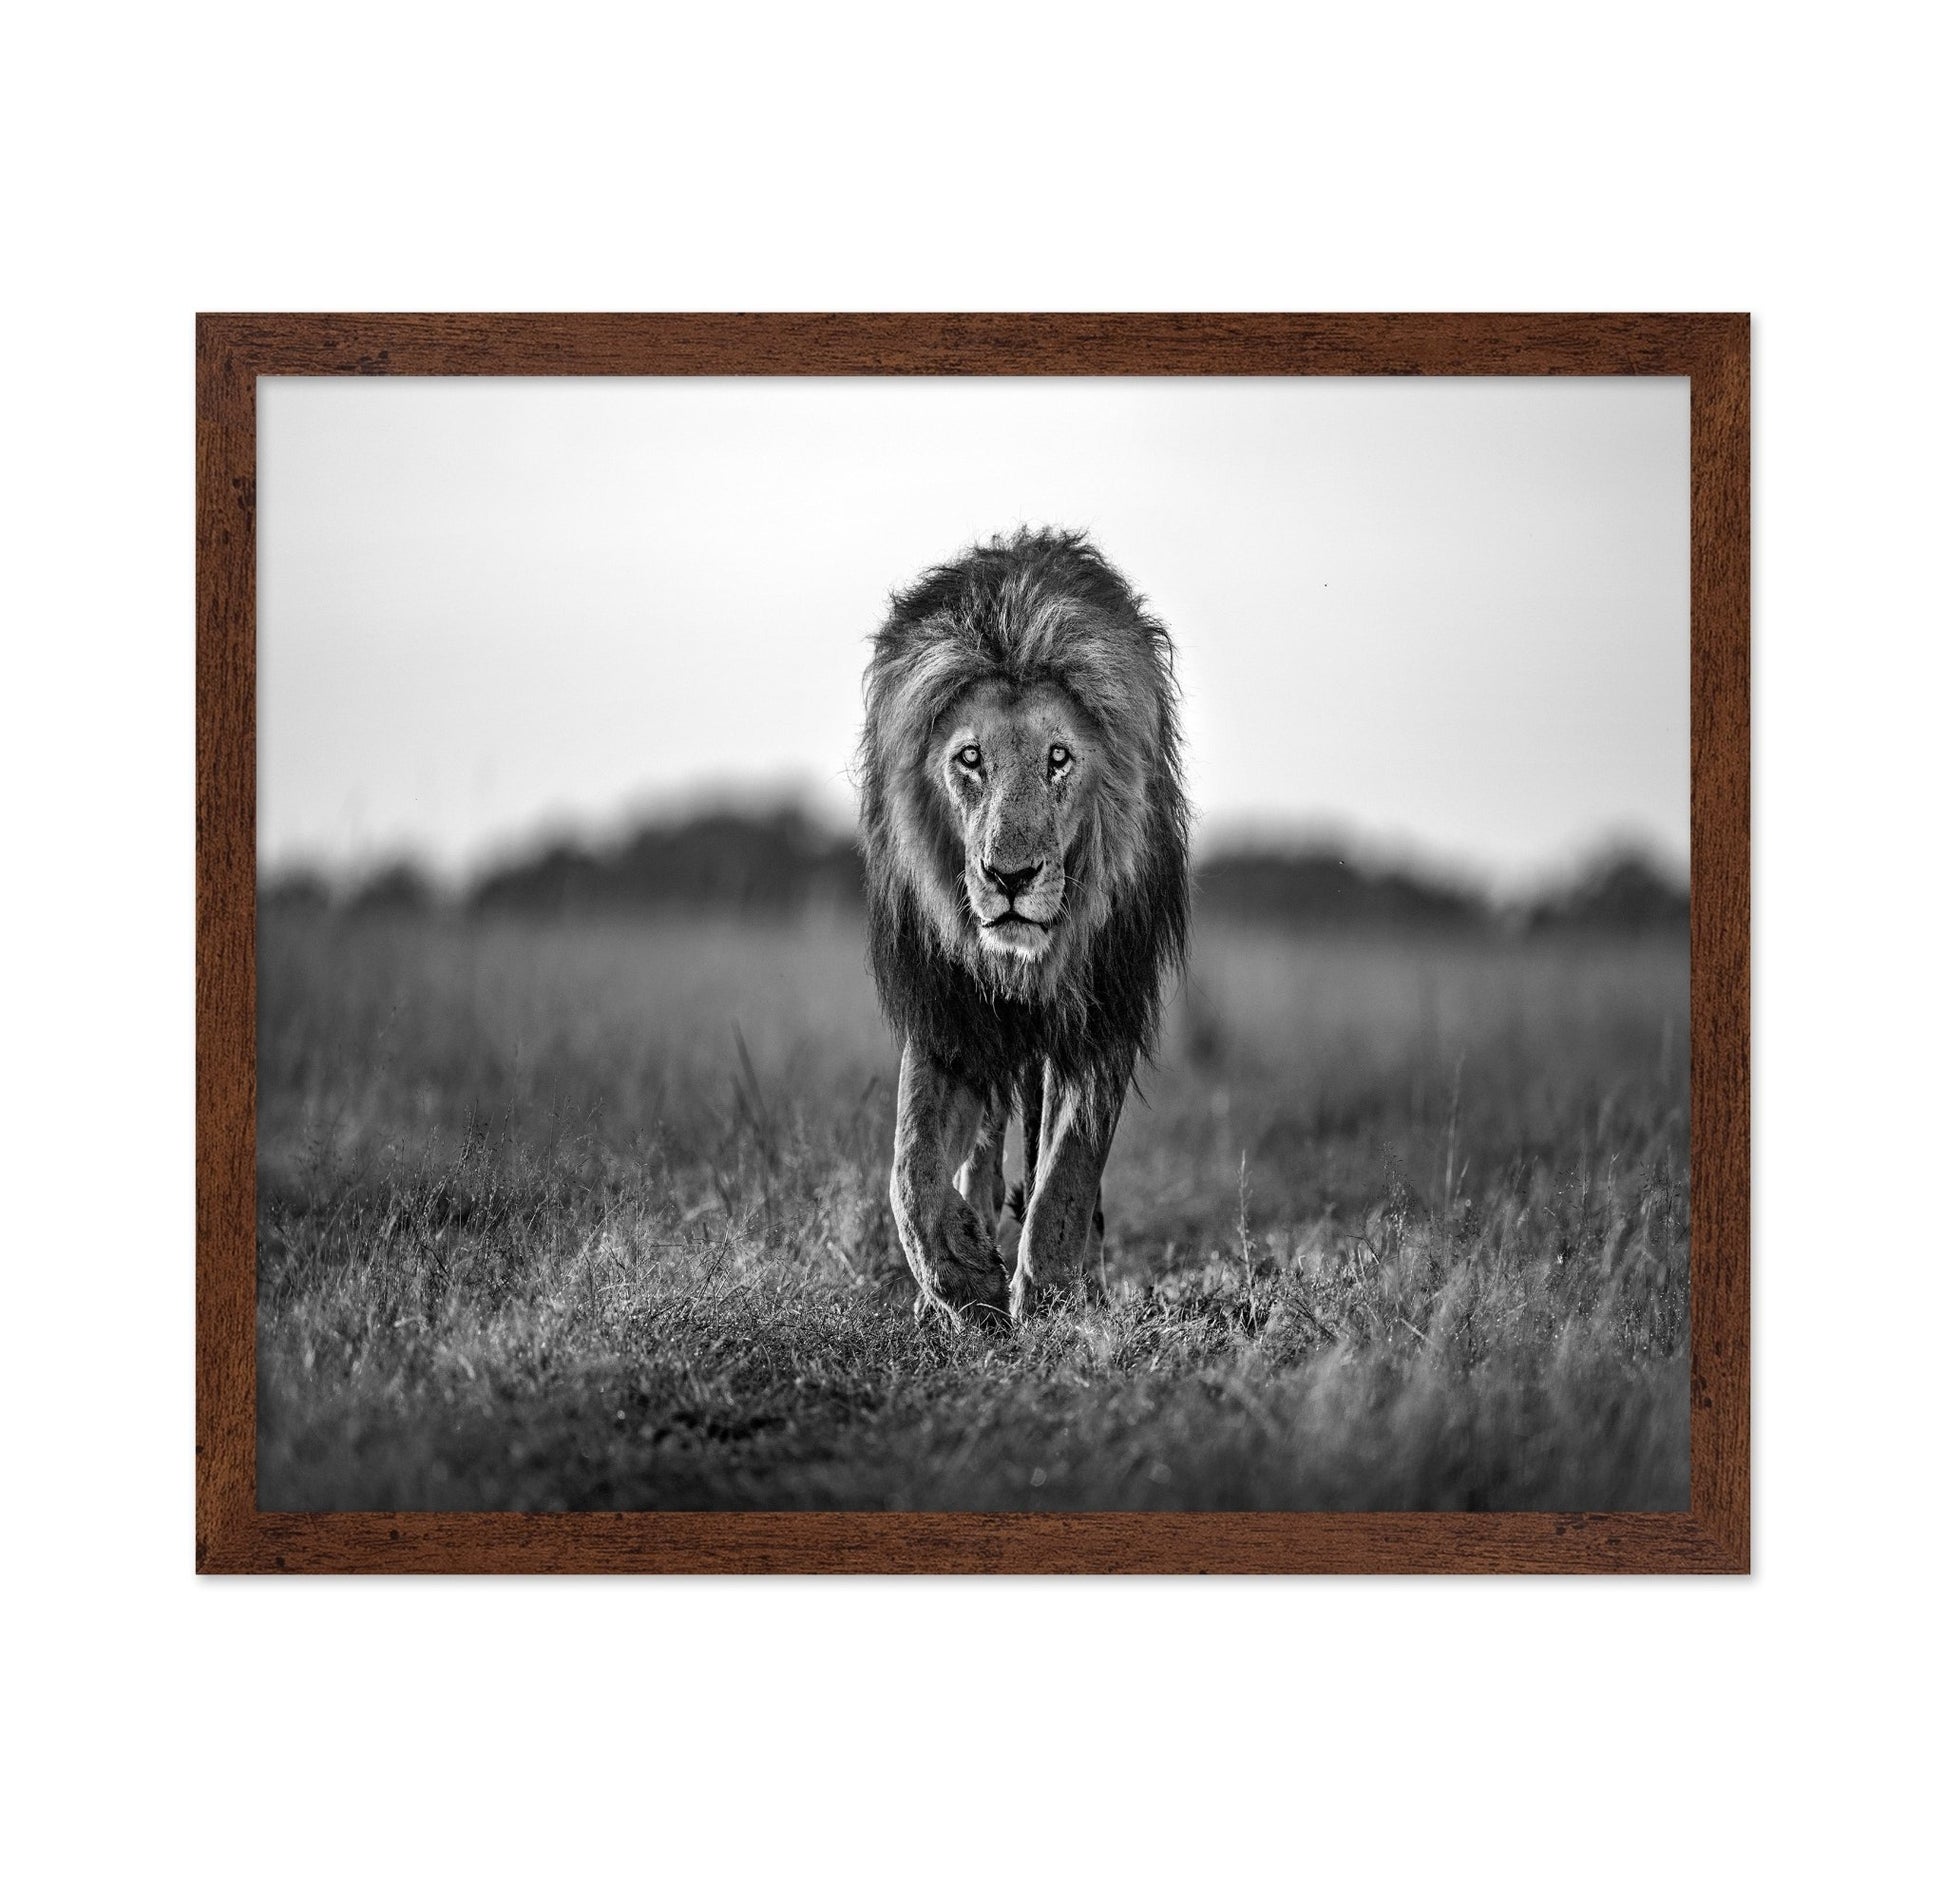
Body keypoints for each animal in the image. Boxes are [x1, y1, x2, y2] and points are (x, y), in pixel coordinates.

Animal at [857, 528, 1191, 1325]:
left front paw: (1050, 1290)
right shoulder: (948, 1009)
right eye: (970, 758)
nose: (1010, 878)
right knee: (979, 1147)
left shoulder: (1103, 1005)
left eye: (1058, 759)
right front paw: (958, 1275)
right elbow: (910, 1166)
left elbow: (1069, 1166)